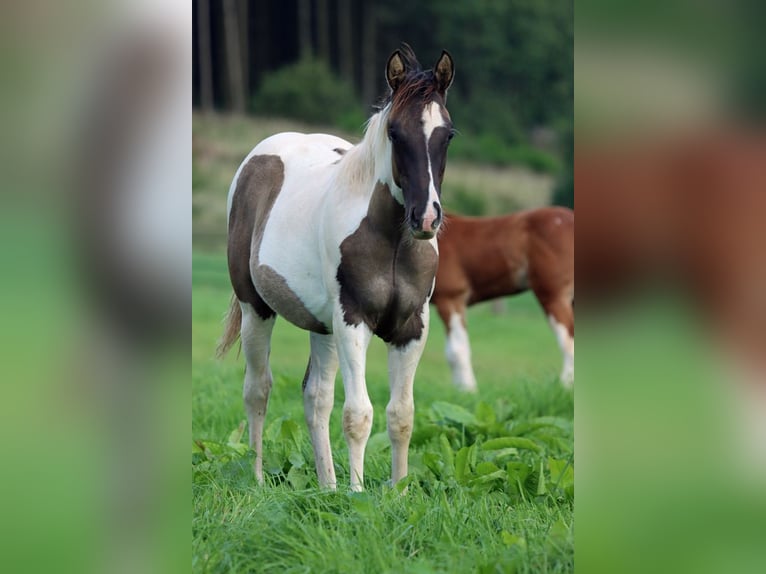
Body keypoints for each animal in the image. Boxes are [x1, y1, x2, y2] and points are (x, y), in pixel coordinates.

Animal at [216, 46, 456, 496]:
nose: (426, 218)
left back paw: (326, 485)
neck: (390, 241)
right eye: (394, 132)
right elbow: (358, 414)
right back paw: (258, 480)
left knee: (316, 397)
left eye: (447, 134)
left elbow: (401, 415)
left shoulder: (411, 328)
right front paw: (357, 494)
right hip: (257, 310)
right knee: (258, 390)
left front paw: (398, 491)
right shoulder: (352, 321)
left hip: (322, 328)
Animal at [432, 209, 576, 394]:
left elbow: (456, 350)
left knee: (568, 342)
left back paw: (564, 387)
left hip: (553, 296)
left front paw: (468, 391)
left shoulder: (451, 299)